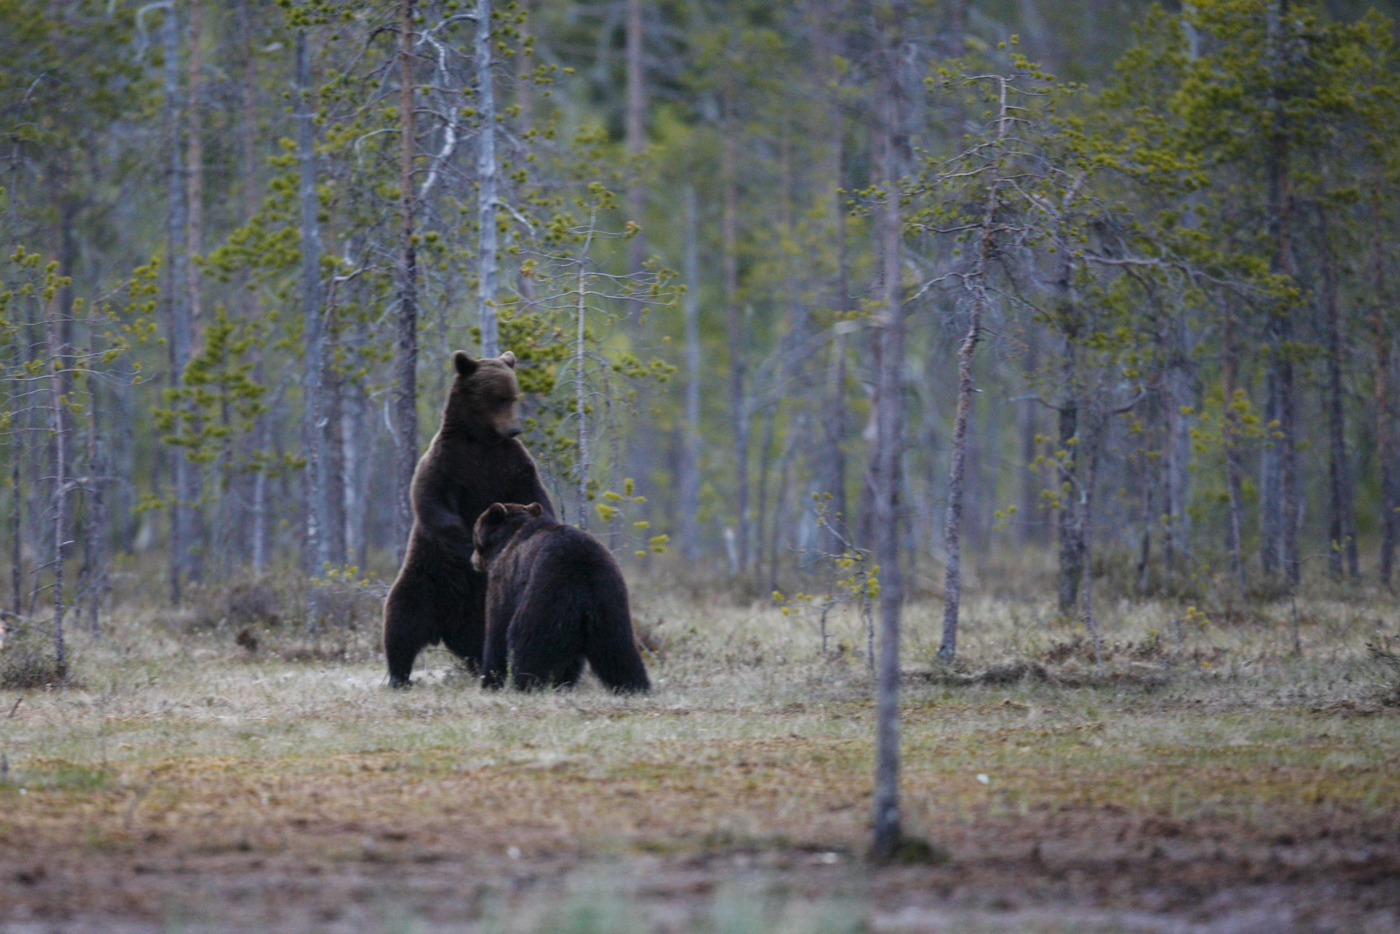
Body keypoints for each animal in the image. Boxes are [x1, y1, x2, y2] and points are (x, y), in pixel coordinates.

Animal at [386, 350, 560, 686]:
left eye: (513, 396)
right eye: (497, 399)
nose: (514, 430)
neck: (481, 440)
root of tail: (447, 626)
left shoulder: (512, 464)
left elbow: (537, 495)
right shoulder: (447, 462)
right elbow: (432, 501)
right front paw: (467, 544)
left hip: (483, 605)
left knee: (480, 635)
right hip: (426, 578)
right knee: (402, 619)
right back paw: (399, 677)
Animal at [467, 504, 646, 694]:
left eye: (475, 538)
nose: (472, 559)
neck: (506, 541)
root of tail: (586, 572)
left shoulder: (505, 579)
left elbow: (497, 628)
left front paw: (489, 681)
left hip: (548, 594)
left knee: (530, 642)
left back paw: (526, 685)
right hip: (610, 601)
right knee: (619, 650)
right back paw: (635, 687)